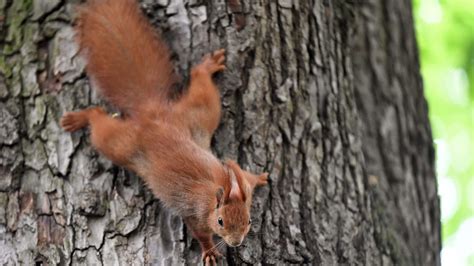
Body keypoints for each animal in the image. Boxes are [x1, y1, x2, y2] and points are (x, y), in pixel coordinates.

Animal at [60, 0, 266, 262]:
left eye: (249, 221)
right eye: (220, 221)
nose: (236, 243)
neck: (214, 193)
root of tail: (152, 114)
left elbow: (247, 177)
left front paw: (259, 177)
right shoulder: (196, 213)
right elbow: (200, 233)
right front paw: (209, 251)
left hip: (198, 115)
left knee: (201, 85)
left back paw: (206, 67)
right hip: (120, 144)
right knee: (98, 122)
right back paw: (80, 118)